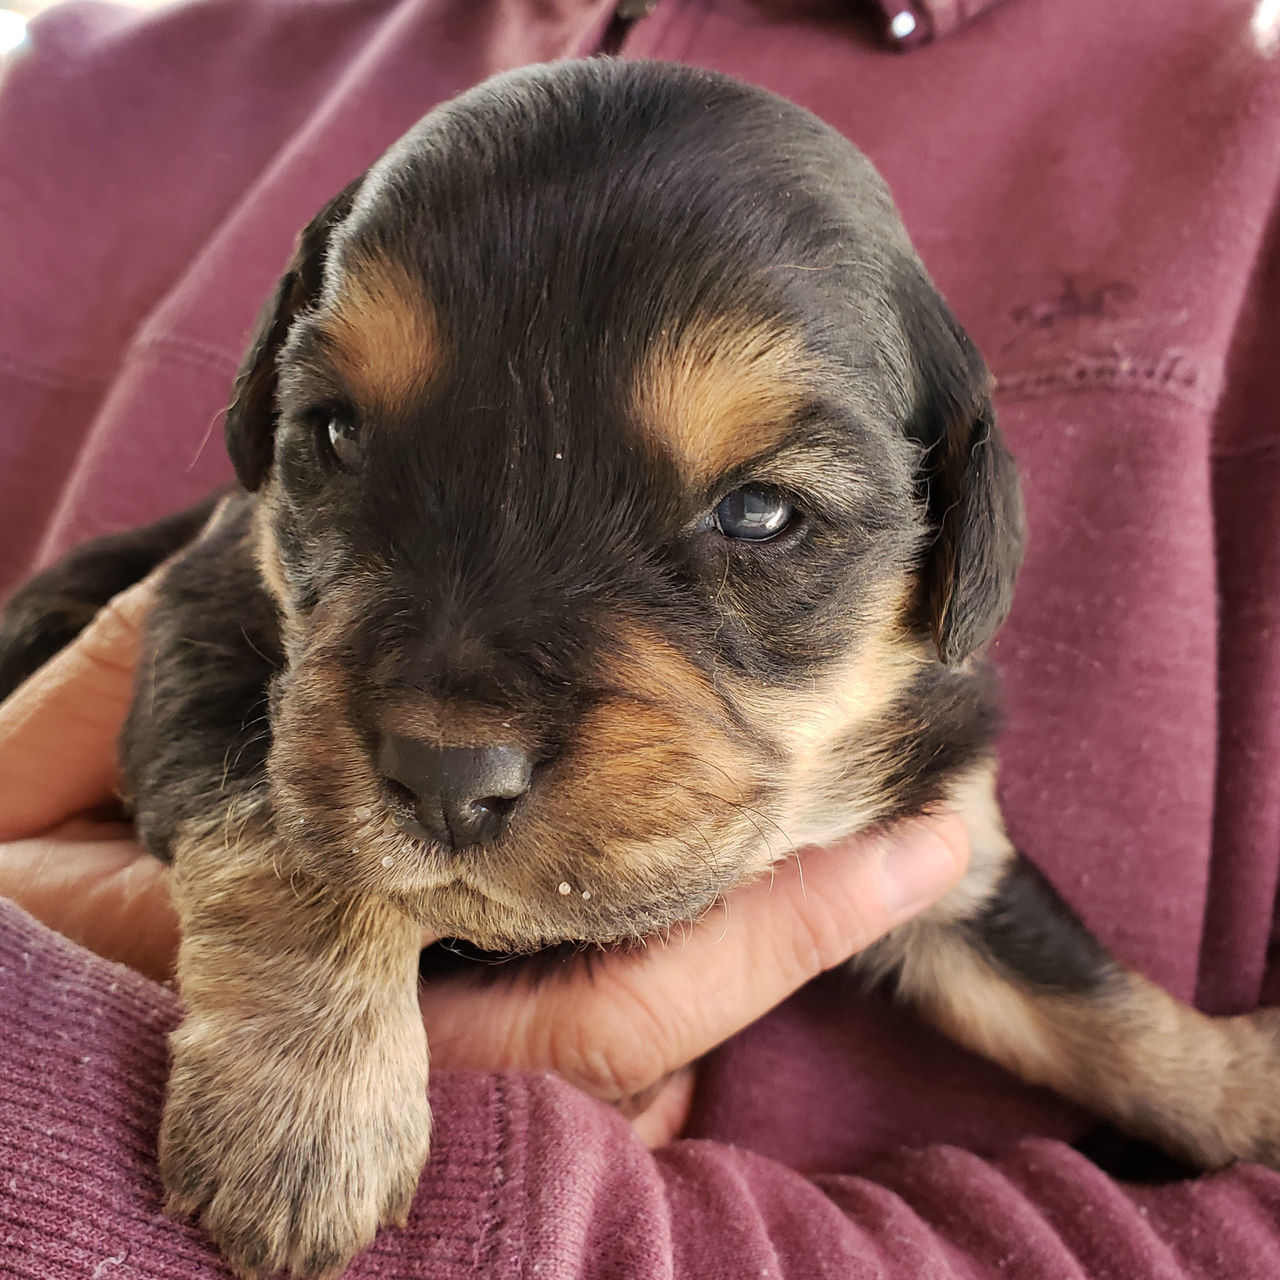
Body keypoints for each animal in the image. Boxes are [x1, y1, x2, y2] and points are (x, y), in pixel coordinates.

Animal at [2, 57, 1280, 1280]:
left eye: (759, 510)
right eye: (336, 434)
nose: (446, 773)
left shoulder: (942, 828)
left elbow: (1082, 992)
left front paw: (1240, 1081)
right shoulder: (211, 622)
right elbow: (291, 836)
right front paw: (305, 1118)